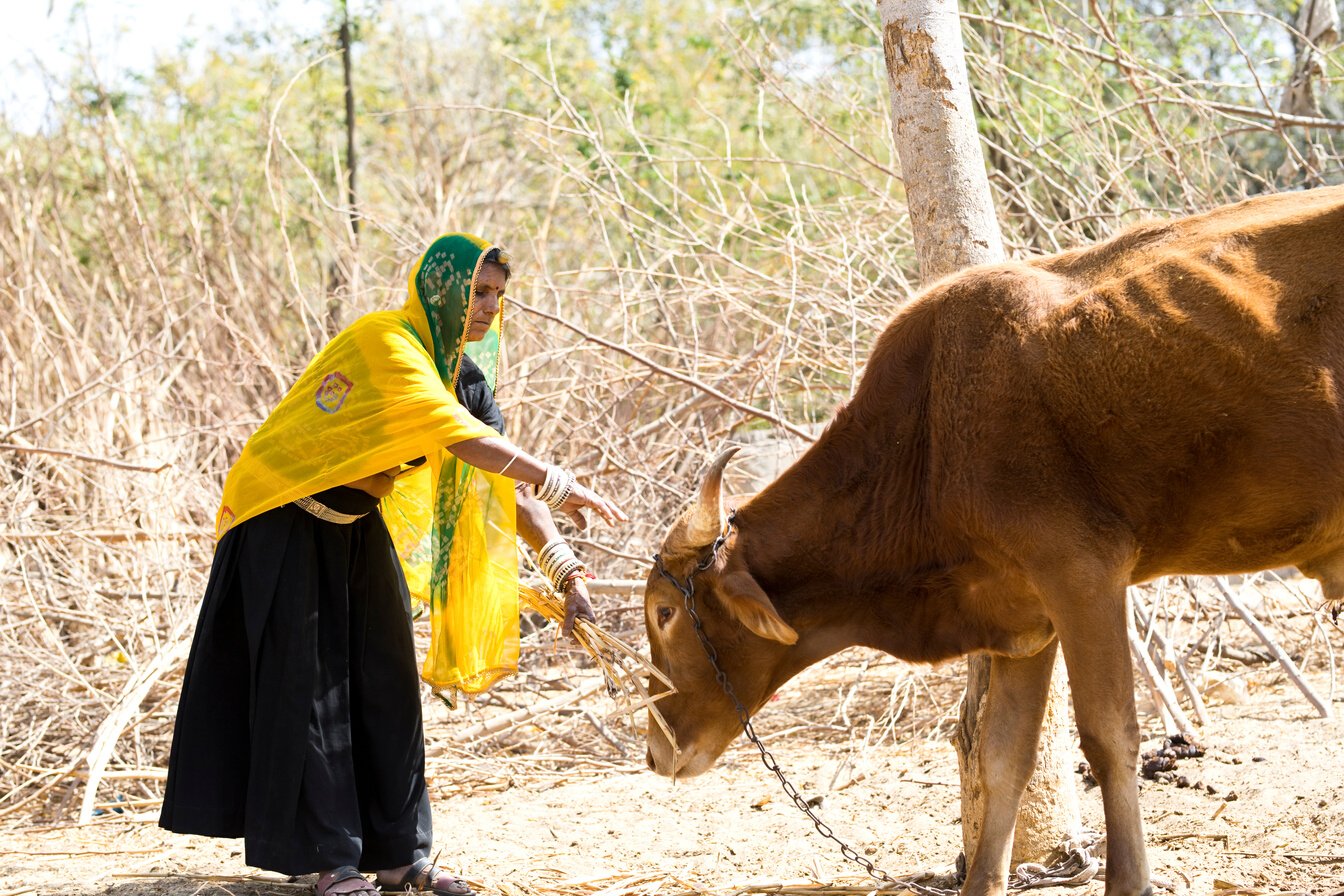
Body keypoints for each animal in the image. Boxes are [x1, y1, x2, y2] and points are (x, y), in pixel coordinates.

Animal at [637, 184, 1344, 896]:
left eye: (664, 613)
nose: (654, 752)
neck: (926, 441)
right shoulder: (1024, 618)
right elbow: (1003, 756)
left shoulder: (1082, 576)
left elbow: (1108, 735)